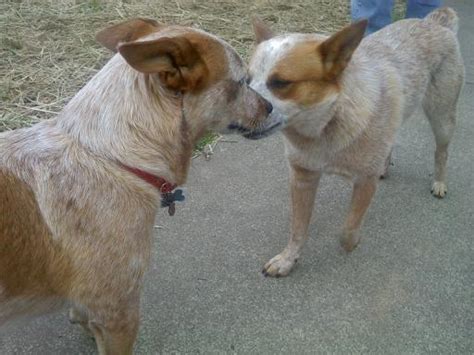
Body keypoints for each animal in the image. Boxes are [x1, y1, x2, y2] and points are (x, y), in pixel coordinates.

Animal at [250, 6, 464, 276]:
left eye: (280, 82)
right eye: (245, 80)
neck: (325, 128)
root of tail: (434, 23)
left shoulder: (364, 181)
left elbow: (347, 229)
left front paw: (352, 243)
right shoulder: (301, 177)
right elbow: (297, 229)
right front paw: (288, 259)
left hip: (442, 117)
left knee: (441, 152)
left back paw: (439, 182)